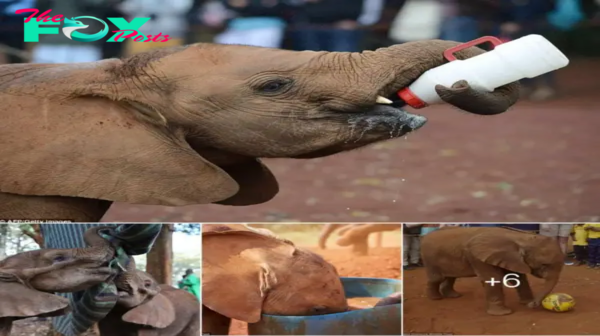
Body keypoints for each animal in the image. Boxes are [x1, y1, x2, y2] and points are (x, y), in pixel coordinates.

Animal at [420, 226, 564, 316]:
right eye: (545, 265)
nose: (533, 305)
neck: (520, 237)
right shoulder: (477, 256)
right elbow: (493, 279)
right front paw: (503, 314)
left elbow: (518, 277)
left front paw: (525, 303)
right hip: (430, 258)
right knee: (436, 278)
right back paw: (435, 299)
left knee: (451, 277)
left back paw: (453, 296)